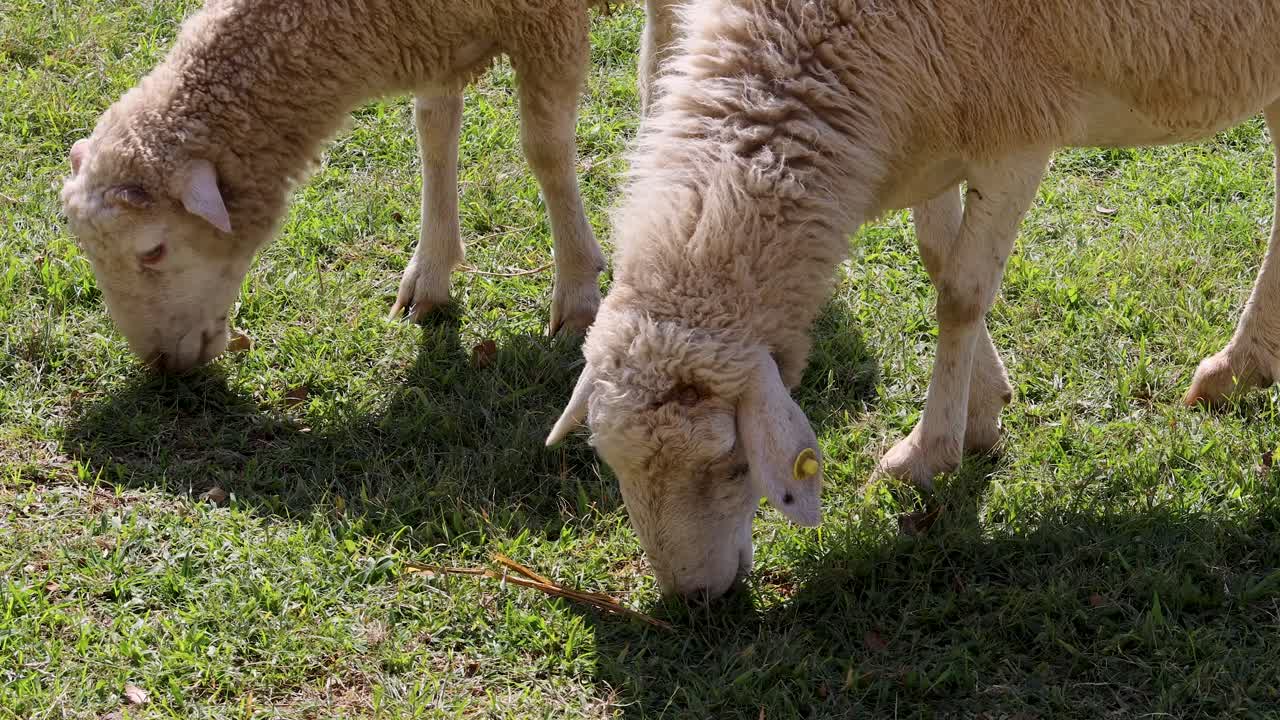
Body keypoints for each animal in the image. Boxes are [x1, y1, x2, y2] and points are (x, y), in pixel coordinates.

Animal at [61, 0, 681, 372]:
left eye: (153, 250)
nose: (162, 366)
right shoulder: (433, 32)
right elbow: (433, 132)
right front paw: (429, 274)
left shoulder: (546, 19)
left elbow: (546, 150)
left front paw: (577, 290)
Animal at [547, 0, 1280, 599]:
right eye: (612, 464)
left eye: (731, 465)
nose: (693, 599)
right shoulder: (934, 124)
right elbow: (936, 256)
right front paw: (984, 410)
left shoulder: (1015, 134)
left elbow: (960, 293)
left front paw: (927, 454)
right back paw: (1244, 367)